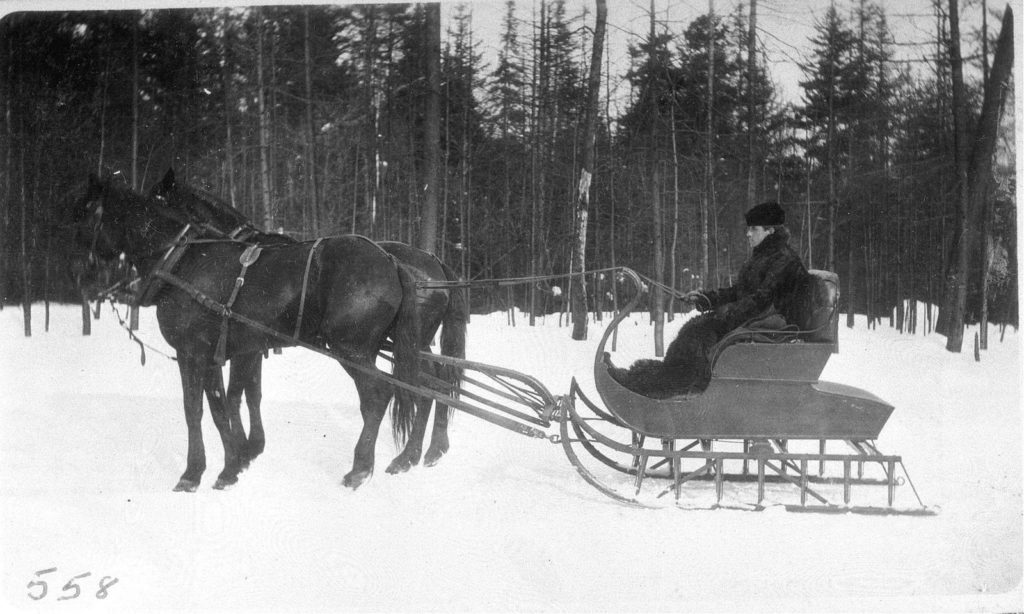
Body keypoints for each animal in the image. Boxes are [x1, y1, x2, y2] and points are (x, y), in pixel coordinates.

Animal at [62, 171, 419, 489]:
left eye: (84, 217)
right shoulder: (230, 353)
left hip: (351, 349)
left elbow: (199, 408)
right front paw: (233, 464)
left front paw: (195, 473)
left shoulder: (194, 353)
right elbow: (229, 404)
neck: (185, 259)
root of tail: (389, 261)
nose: (77, 273)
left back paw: (361, 468)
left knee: (378, 396)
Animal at [149, 169, 468, 472]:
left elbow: (237, 394)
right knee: (433, 385)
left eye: (157, 202)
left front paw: (245, 449)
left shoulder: (245, 347)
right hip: (414, 344)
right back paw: (423, 452)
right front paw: (250, 447)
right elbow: (252, 393)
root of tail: (432, 263)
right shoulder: (251, 346)